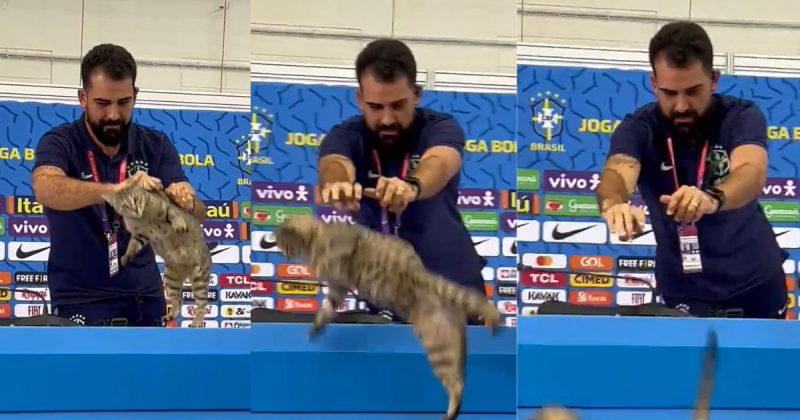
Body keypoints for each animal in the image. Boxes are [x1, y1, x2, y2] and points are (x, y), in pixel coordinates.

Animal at [101, 182, 211, 326]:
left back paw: (197, 321)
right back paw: (170, 315)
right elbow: (132, 246)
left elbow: (174, 213)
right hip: (170, 278)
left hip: (200, 278)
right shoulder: (140, 235)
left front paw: (179, 224)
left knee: (202, 304)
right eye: (125, 205)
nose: (136, 210)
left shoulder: (165, 206)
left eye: (136, 198)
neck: (142, 217)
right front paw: (126, 257)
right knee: (178, 300)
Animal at [276, 215, 500, 418]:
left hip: (438, 348)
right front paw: (318, 323)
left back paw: (452, 405)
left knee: (456, 384)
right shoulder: (337, 286)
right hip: (447, 339)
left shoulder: (342, 248)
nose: (282, 253)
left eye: (283, 243)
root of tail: (424, 278)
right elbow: (328, 306)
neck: (316, 238)